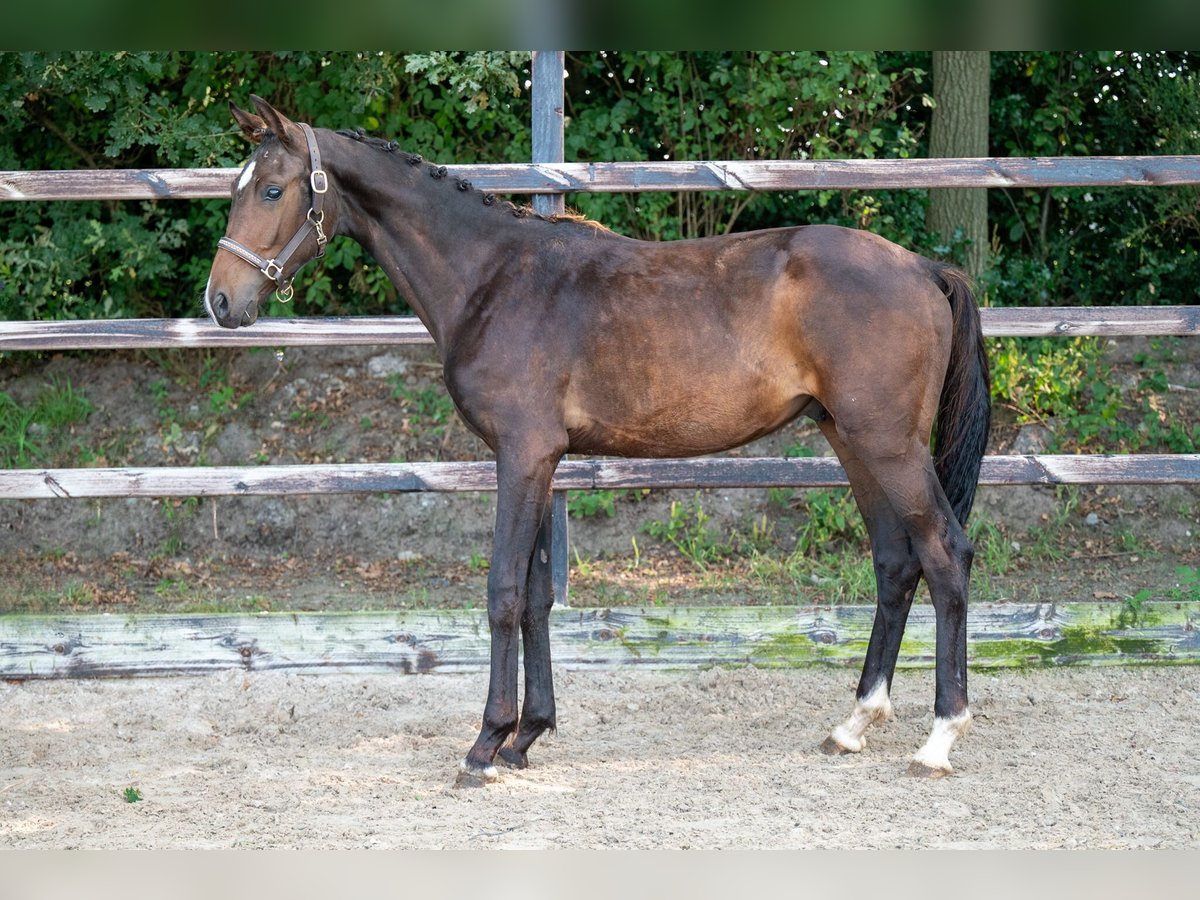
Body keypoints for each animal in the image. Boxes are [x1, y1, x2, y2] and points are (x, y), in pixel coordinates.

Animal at [206, 97, 993, 782]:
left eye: (272, 189)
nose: (221, 301)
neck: (493, 276)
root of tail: (924, 268)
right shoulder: (540, 460)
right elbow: (536, 596)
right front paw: (526, 736)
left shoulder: (521, 456)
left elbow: (503, 591)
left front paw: (485, 744)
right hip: (852, 442)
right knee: (895, 563)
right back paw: (852, 725)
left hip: (887, 445)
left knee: (945, 554)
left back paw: (939, 738)